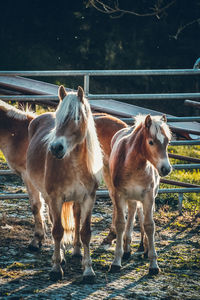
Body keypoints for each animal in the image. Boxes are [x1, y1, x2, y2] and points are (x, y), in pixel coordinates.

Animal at [25, 86, 102, 282]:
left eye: (77, 118)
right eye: (59, 119)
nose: (56, 148)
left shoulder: (89, 198)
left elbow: (85, 231)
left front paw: (88, 270)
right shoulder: (55, 198)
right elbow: (58, 231)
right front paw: (56, 268)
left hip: (75, 199)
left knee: (75, 216)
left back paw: (76, 251)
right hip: (41, 192)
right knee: (53, 221)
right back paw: (60, 256)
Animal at [106, 114, 172, 274]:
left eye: (167, 142)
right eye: (151, 142)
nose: (166, 169)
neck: (132, 165)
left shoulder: (148, 196)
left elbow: (149, 225)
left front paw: (153, 264)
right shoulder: (119, 195)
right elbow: (120, 224)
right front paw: (116, 261)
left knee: (140, 215)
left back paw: (144, 247)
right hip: (131, 198)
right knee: (131, 214)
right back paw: (127, 249)